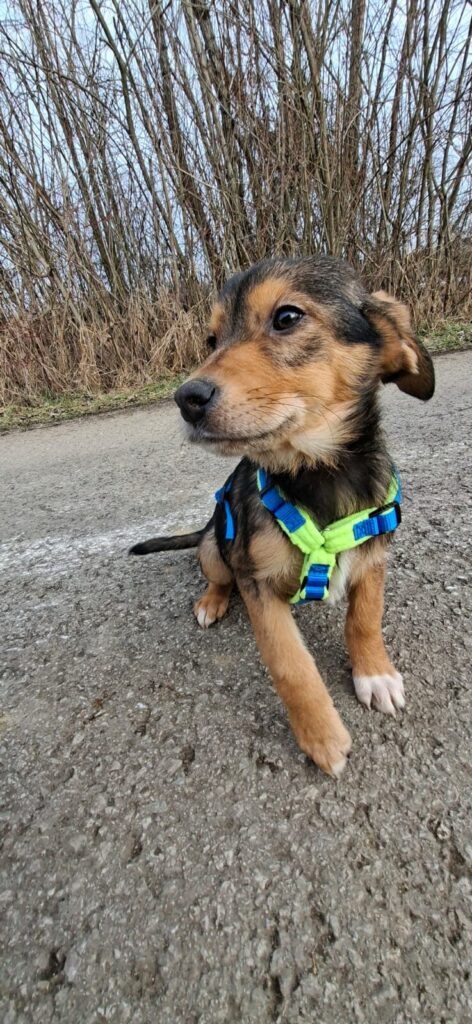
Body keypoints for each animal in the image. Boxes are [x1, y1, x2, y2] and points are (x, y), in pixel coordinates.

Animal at [130, 256, 434, 776]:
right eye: (212, 340)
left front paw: (374, 673)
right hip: (215, 545)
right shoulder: (258, 586)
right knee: (216, 573)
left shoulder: (374, 557)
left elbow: (365, 619)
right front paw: (322, 738)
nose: (186, 399)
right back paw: (211, 600)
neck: (319, 472)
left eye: (287, 317)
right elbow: (291, 665)